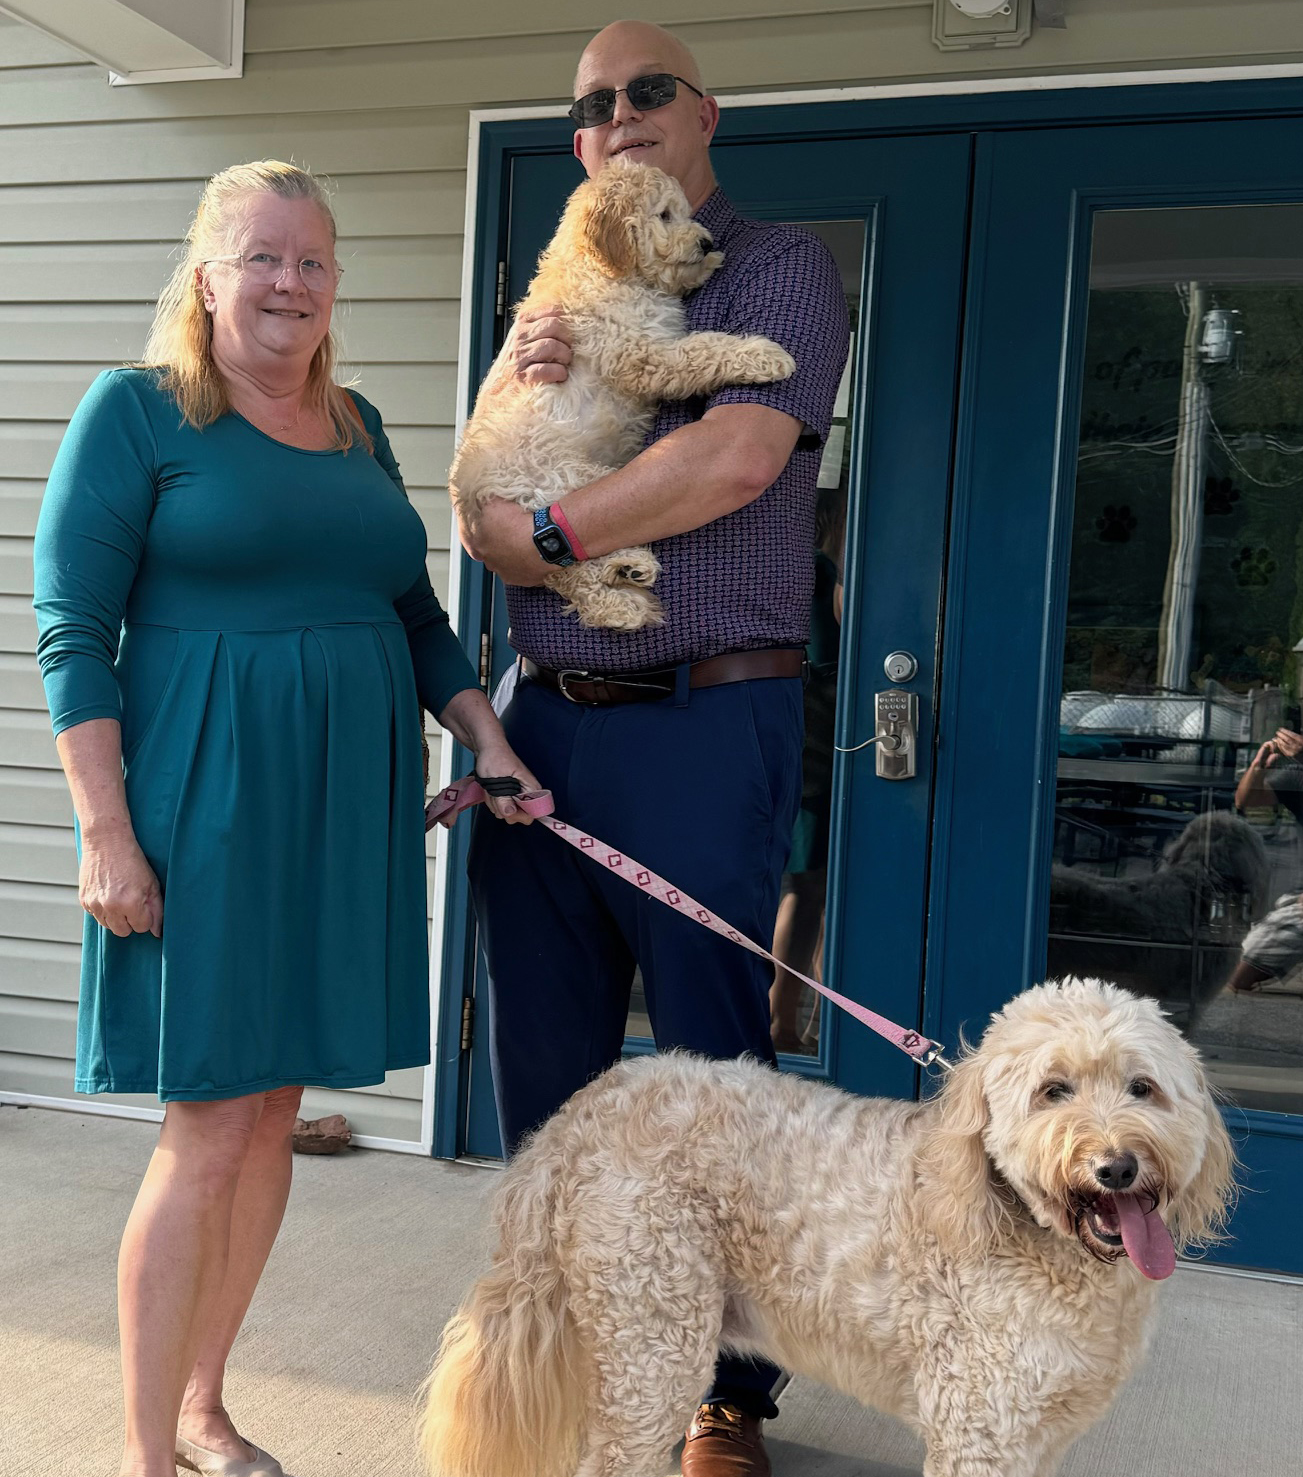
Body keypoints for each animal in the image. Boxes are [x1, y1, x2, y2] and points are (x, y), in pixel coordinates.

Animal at [418, 978, 1234, 1477]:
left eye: (1142, 1087)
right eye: (1052, 1090)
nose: (1117, 1166)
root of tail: (584, 1109)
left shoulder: (1039, 1433)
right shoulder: (982, 1430)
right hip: (655, 1338)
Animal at [449, 163, 795, 630]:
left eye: (685, 212)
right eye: (664, 214)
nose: (706, 242)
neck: (606, 270)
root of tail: (471, 490)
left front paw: (708, 264)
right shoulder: (641, 354)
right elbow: (701, 350)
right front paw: (765, 355)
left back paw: (628, 567)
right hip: (566, 480)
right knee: (568, 567)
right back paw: (622, 592)